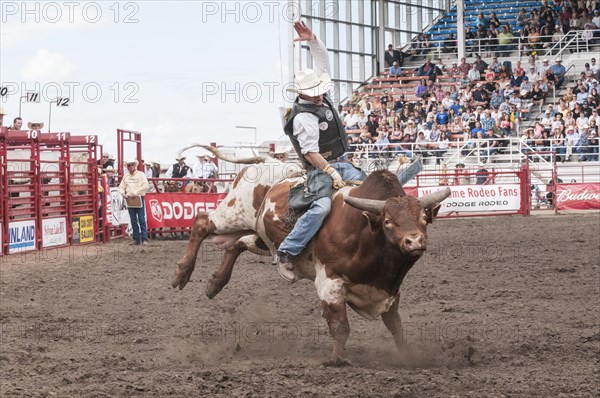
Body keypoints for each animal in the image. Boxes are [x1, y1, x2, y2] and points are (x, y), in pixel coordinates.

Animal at [170, 145, 450, 364]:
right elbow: (340, 326)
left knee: (235, 244)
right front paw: (337, 360)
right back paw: (182, 273)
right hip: (232, 214)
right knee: (202, 222)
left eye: (424, 218)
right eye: (388, 221)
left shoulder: (390, 291)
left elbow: (395, 325)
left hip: (263, 238)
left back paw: (215, 283)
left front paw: (407, 355)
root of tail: (266, 161)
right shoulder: (330, 282)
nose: (414, 241)